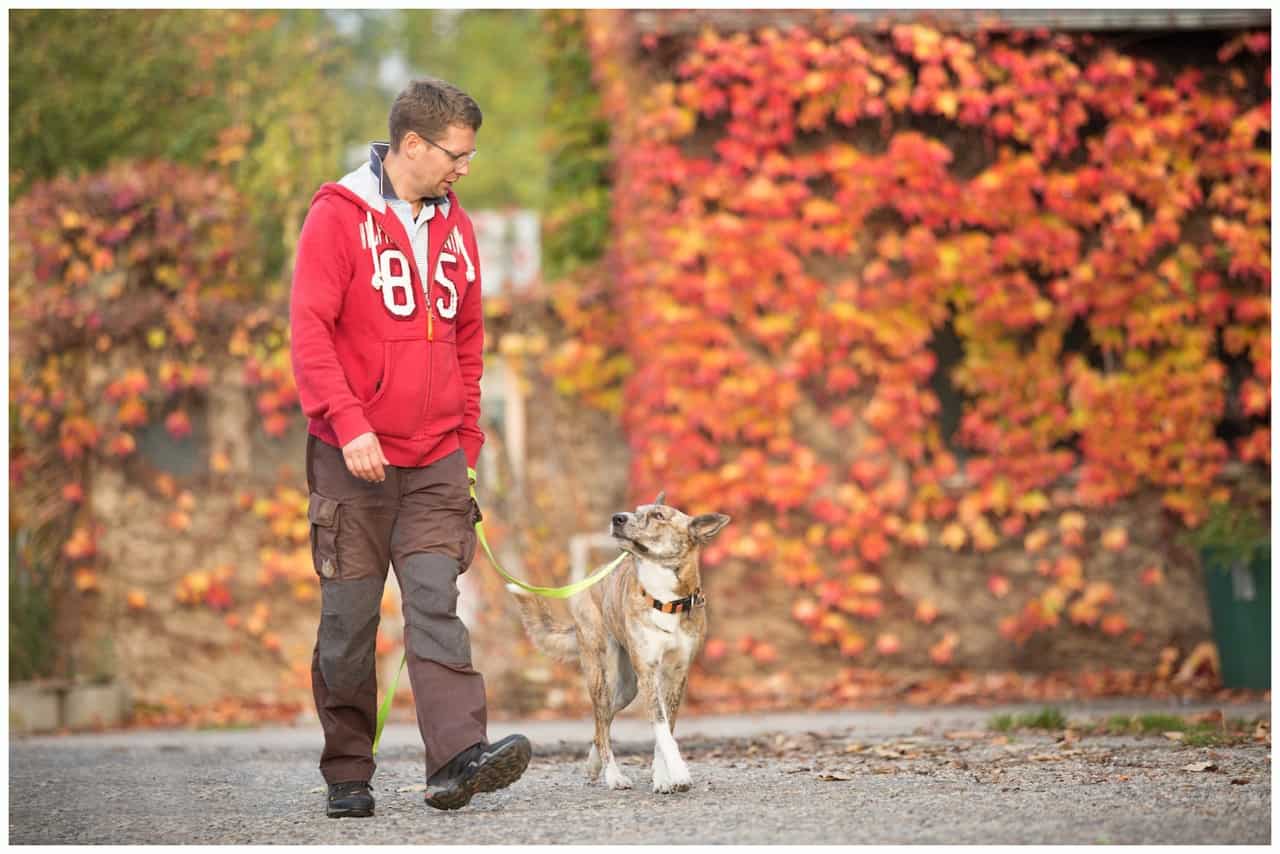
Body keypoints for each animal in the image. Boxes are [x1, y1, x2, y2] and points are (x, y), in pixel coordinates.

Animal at [509, 494, 732, 793]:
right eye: (636, 511)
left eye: (659, 515)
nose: (617, 518)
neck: (664, 598)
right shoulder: (649, 672)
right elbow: (661, 728)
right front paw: (678, 774)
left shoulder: (676, 675)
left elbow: (666, 728)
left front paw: (662, 777)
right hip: (604, 674)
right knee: (601, 721)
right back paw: (613, 775)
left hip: (626, 688)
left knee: (601, 723)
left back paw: (595, 764)